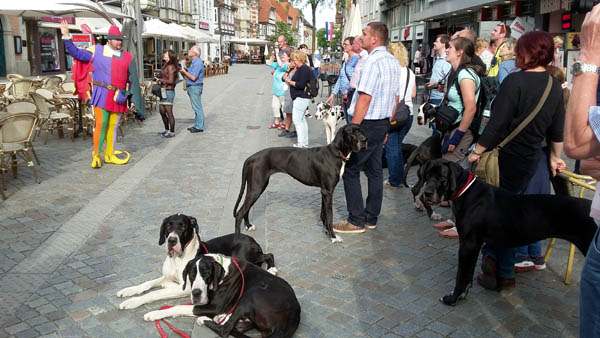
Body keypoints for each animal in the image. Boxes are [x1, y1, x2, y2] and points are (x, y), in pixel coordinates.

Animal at [233, 124, 366, 243]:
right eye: (351, 132)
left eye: (361, 130)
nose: (364, 140)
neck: (336, 153)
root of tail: (251, 157)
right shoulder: (328, 191)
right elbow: (330, 216)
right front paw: (333, 237)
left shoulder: (324, 191)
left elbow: (323, 214)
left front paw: (327, 232)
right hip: (257, 187)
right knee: (240, 212)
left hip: (254, 188)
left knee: (246, 208)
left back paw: (249, 226)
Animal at [418, 160, 600, 304]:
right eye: (427, 176)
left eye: (442, 178)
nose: (427, 193)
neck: (466, 191)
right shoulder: (471, 245)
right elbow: (467, 275)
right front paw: (462, 295)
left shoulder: (468, 245)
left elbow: (461, 275)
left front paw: (453, 298)